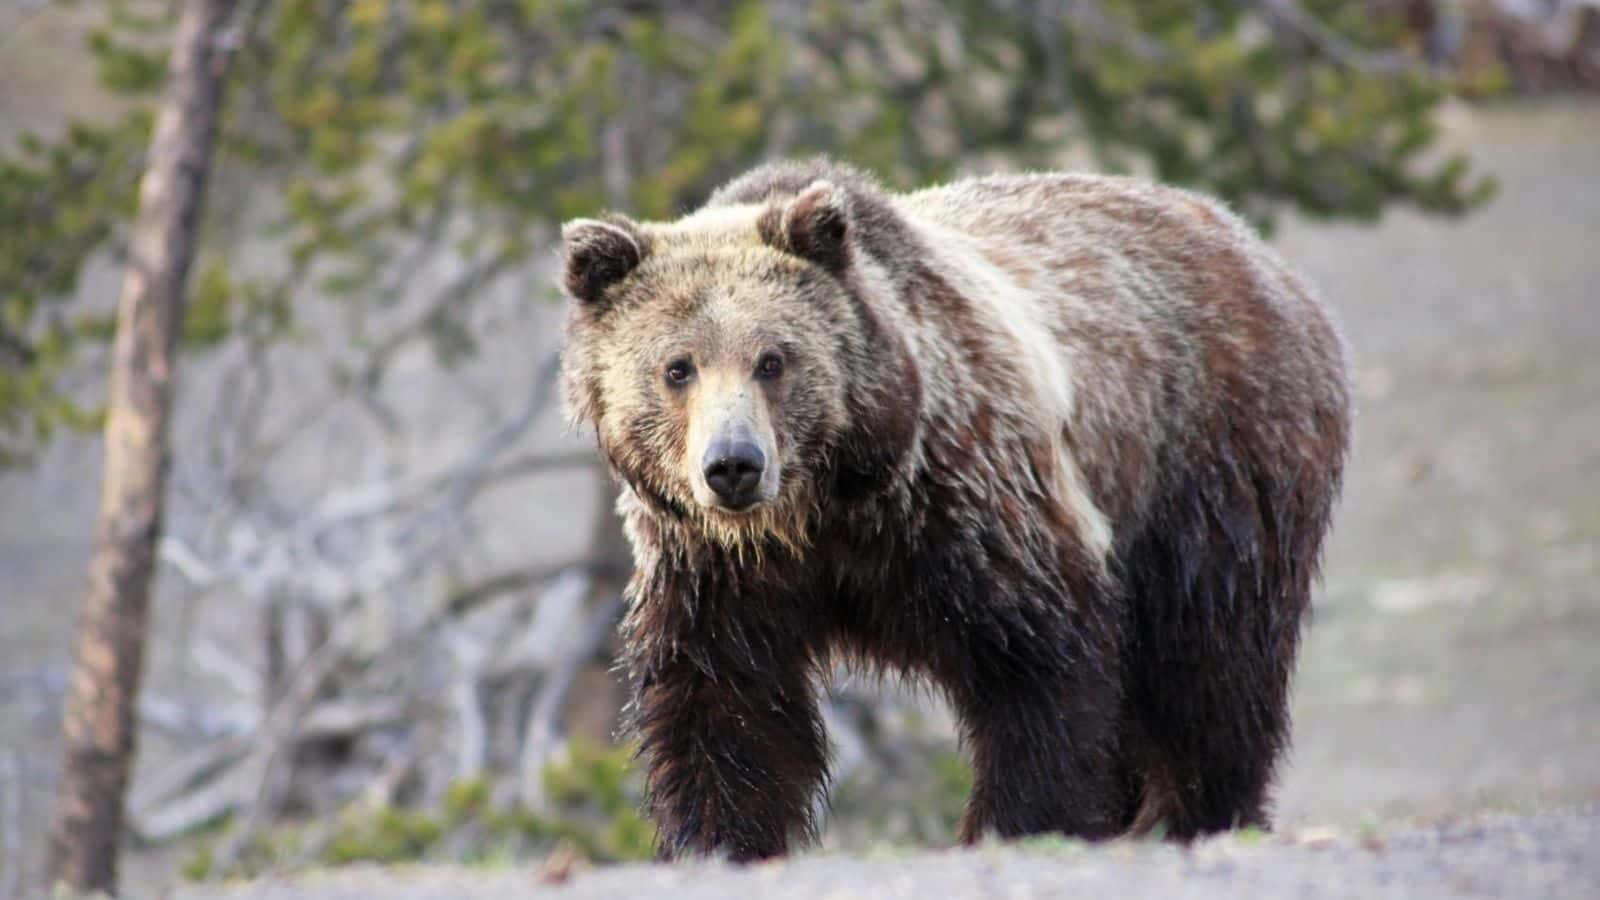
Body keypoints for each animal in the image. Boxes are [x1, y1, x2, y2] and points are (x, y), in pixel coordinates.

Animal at [558, 158, 1351, 861]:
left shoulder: (968, 508)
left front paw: (1019, 823)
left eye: (774, 359)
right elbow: (726, 708)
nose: (733, 465)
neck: (826, 510)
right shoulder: (717, 573)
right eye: (677, 368)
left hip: (1210, 466)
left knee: (1211, 662)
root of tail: (1259, 251)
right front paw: (721, 840)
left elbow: (1039, 671)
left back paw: (1202, 813)